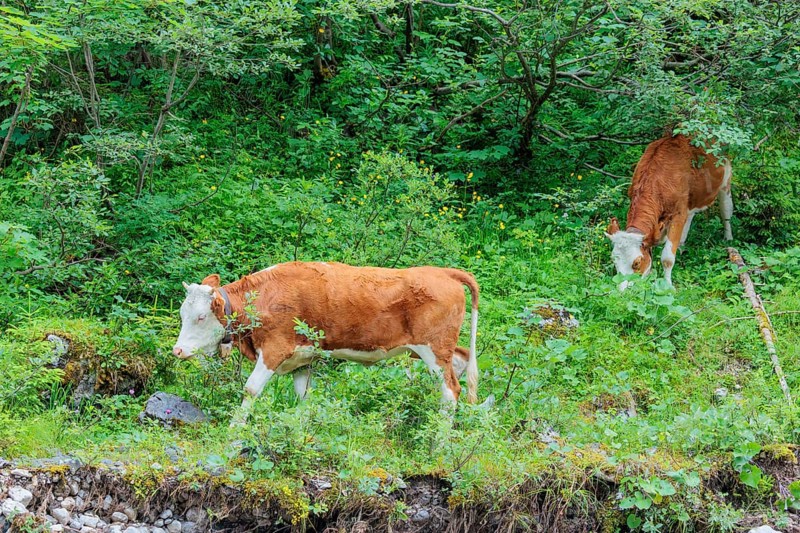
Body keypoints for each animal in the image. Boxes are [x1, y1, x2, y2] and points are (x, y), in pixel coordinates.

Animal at [172, 261, 479, 424]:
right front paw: (300, 428)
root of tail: (444, 272)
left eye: (200, 317)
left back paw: (438, 440)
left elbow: (250, 389)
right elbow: (303, 396)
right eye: (182, 314)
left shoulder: (274, 349)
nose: (178, 350)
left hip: (433, 349)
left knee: (450, 390)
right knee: (461, 362)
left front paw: (235, 427)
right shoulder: (301, 358)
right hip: (432, 350)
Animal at [606, 134, 733, 290]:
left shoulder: (678, 214)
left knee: (726, 209)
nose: (622, 290)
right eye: (614, 260)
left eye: (636, 263)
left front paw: (667, 285)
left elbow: (667, 258)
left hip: (725, 178)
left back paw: (728, 239)